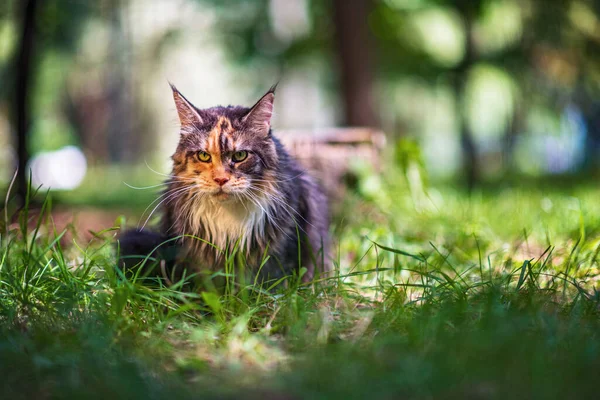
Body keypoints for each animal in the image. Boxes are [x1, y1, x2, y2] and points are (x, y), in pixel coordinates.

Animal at [119, 83, 330, 284]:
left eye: (240, 155)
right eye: (204, 156)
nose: (221, 179)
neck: (228, 217)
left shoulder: (283, 249)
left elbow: (272, 283)